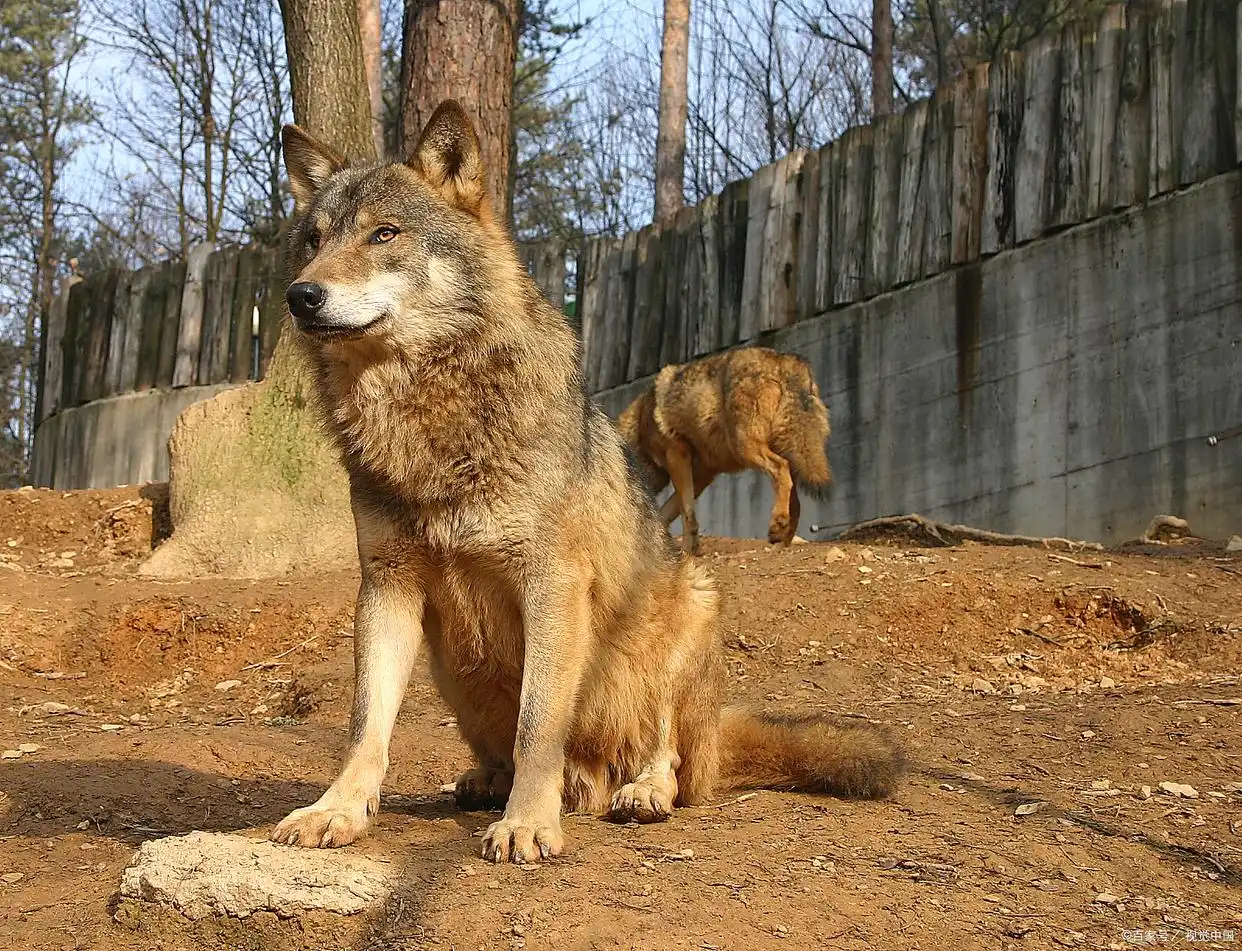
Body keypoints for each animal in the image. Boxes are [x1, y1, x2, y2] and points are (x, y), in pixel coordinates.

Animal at [617, 347, 832, 555]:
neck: (639, 424)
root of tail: (785, 359)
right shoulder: (703, 475)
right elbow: (670, 513)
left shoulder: (677, 456)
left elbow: (687, 513)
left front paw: (688, 551)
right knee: (796, 503)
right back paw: (781, 543)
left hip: (746, 449)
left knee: (781, 469)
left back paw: (776, 526)